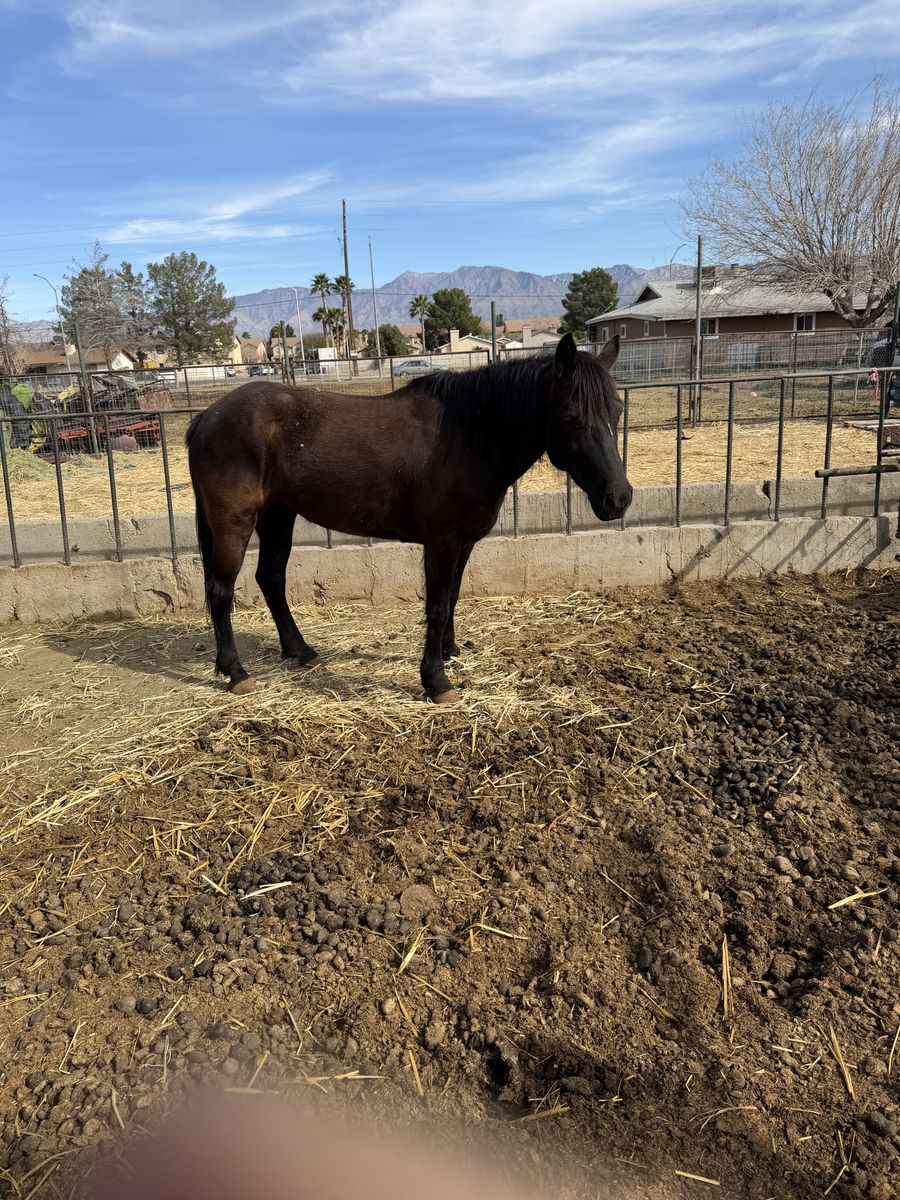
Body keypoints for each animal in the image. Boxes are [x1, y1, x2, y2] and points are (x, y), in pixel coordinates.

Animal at [186, 333, 631, 702]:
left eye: (617, 411)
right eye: (573, 418)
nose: (619, 498)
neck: (468, 435)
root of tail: (206, 417)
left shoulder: (463, 542)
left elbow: (452, 597)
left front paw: (449, 652)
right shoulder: (440, 542)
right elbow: (436, 606)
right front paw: (436, 681)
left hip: (279, 515)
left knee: (271, 580)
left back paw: (301, 651)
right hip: (235, 523)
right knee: (220, 592)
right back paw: (236, 672)